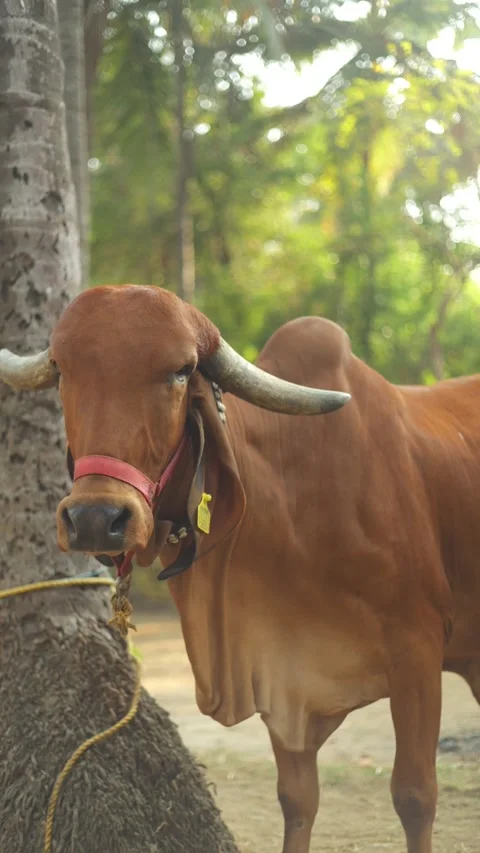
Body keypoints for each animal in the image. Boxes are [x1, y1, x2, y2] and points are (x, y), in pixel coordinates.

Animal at [1, 284, 479, 853]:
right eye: (63, 371)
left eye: (181, 371)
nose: (96, 519)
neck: (295, 495)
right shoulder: (279, 671)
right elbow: (297, 799)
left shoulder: (419, 651)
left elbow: (414, 796)